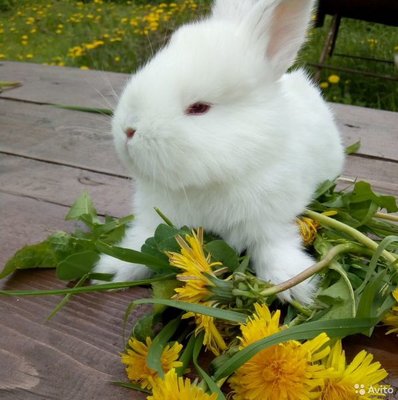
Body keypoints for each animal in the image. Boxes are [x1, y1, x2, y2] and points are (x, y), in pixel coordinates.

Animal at [94, 0, 346, 304]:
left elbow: (274, 244)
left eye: (199, 107)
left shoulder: (270, 217)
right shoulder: (156, 217)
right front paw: (111, 268)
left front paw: (293, 284)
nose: (128, 130)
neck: (206, 183)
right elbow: (141, 241)